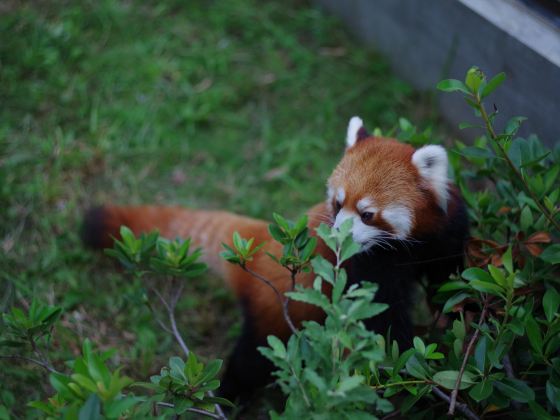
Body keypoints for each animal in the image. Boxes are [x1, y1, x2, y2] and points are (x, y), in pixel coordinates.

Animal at [83, 117, 468, 400]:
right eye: (337, 204)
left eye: (367, 214)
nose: (336, 234)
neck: (405, 248)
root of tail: (259, 245)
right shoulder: (367, 268)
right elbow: (382, 323)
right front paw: (404, 365)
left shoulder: (442, 238)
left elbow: (450, 281)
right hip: (275, 315)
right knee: (251, 361)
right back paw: (227, 395)